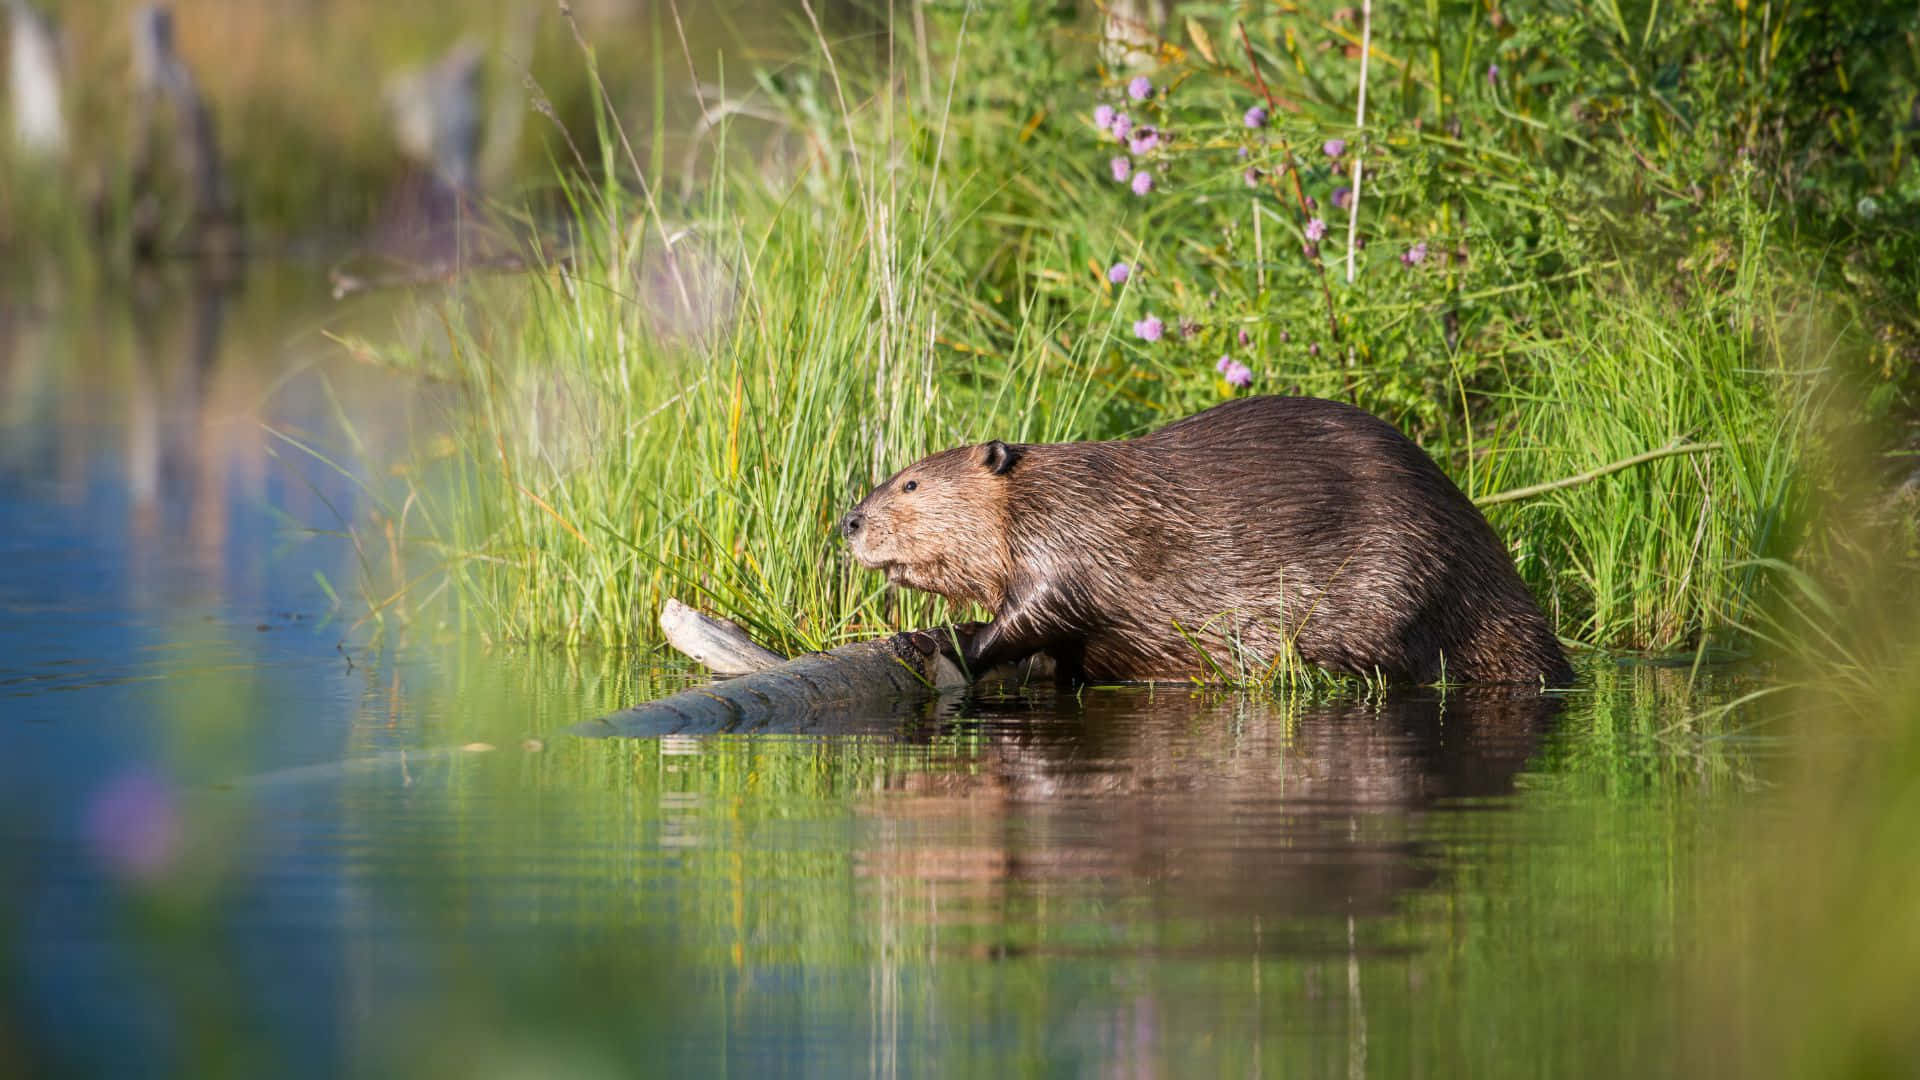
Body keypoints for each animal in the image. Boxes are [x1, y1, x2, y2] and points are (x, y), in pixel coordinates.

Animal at [840, 393, 1574, 680]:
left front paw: (944, 642)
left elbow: (1040, 610)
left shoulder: (1073, 539)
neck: (1050, 490)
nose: (850, 521)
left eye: (910, 484)